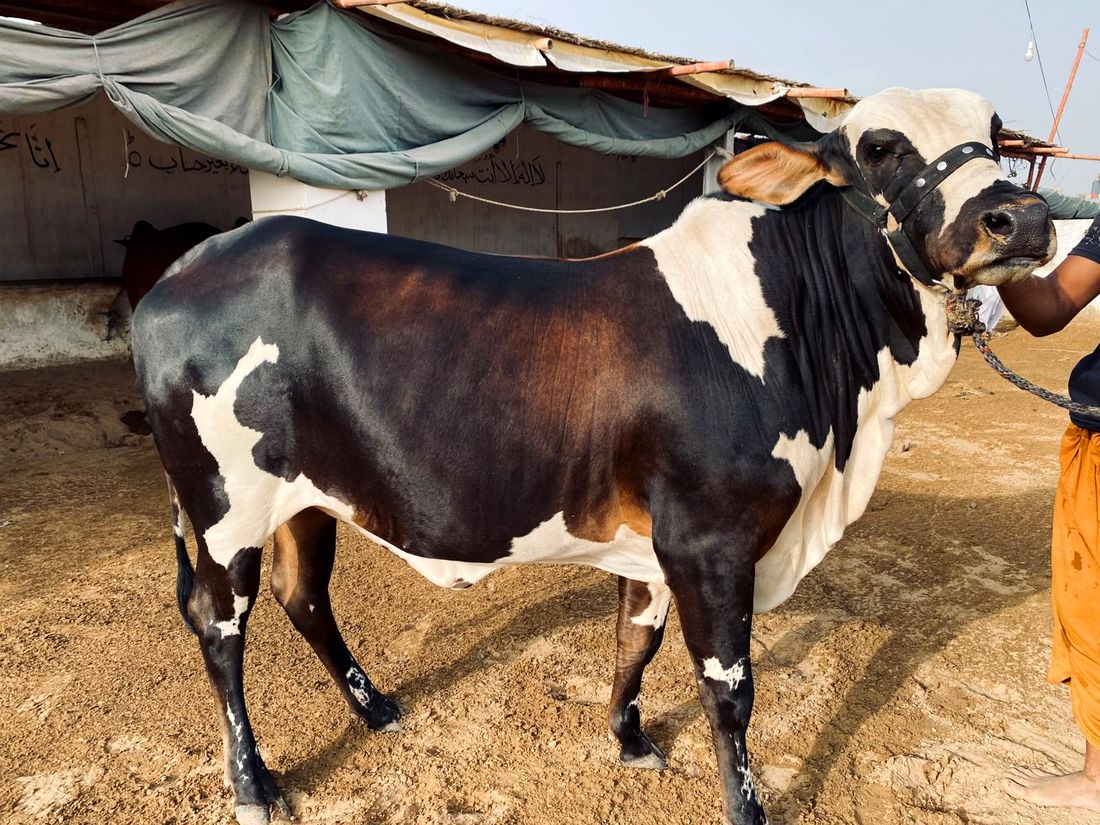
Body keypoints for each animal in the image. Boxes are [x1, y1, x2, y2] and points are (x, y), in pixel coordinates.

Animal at [131, 88, 1055, 825]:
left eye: (997, 136)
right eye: (881, 147)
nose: (1022, 219)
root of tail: (178, 273)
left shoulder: (654, 544)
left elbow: (634, 639)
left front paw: (630, 738)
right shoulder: (710, 539)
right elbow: (729, 689)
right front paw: (746, 806)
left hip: (307, 499)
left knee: (304, 597)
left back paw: (377, 707)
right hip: (224, 507)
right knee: (220, 626)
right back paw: (254, 784)